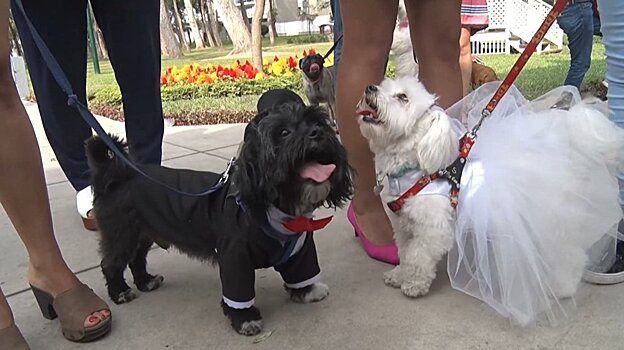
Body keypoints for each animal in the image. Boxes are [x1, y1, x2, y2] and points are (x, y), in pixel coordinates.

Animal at [85, 93, 354, 336]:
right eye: (284, 133)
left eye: (317, 123)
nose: (317, 133)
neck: (275, 209)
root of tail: (116, 175)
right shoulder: (235, 256)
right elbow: (239, 292)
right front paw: (244, 319)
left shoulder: (300, 251)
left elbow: (301, 273)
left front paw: (306, 291)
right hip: (122, 234)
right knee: (111, 263)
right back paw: (119, 292)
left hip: (143, 234)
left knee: (137, 259)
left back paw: (145, 281)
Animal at [356, 76, 624, 326]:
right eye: (384, 85)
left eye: (403, 97)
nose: (370, 87)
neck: (417, 170)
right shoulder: (404, 227)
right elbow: (405, 253)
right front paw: (399, 275)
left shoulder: (433, 230)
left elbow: (418, 257)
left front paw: (413, 285)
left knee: (570, 254)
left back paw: (563, 287)